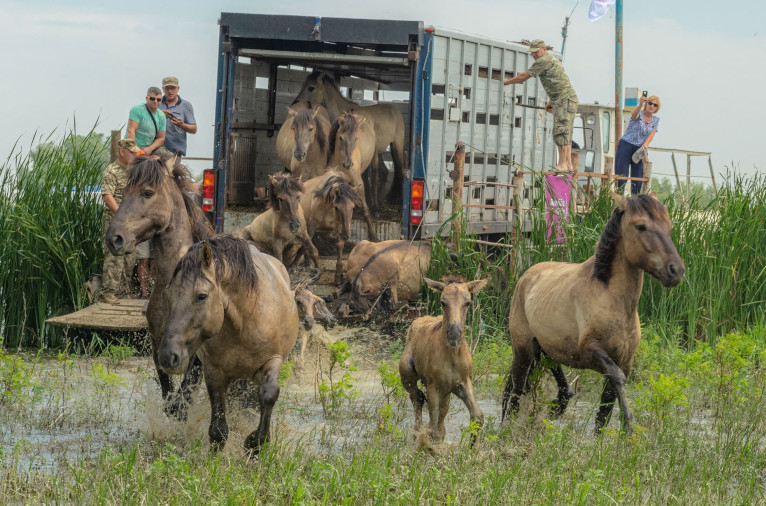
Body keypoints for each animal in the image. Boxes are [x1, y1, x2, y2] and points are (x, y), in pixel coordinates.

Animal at [105, 156, 214, 419]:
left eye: (147, 192)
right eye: (124, 191)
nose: (114, 239)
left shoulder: (196, 358)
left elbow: (183, 400)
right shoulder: (158, 347)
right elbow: (169, 399)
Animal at [159, 236, 298, 453]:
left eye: (201, 296)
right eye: (168, 293)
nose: (167, 357)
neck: (246, 321)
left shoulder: (273, 360)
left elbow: (269, 394)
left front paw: (256, 444)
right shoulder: (214, 370)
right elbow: (218, 425)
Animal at [293, 70, 406, 204]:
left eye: (311, 88)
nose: (295, 102)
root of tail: (395, 110)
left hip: (396, 146)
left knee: (400, 171)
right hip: (379, 151)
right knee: (384, 172)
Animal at [399, 275, 488, 445]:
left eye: (468, 302)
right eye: (442, 302)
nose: (454, 334)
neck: (452, 355)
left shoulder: (462, 382)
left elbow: (477, 416)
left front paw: (472, 448)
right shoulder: (433, 385)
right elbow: (433, 426)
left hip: (447, 388)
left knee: (440, 407)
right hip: (407, 375)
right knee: (417, 397)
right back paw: (416, 431)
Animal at [501, 193, 685, 434]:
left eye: (668, 226)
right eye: (641, 226)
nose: (676, 271)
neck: (611, 300)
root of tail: (526, 276)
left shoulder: (625, 360)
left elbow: (604, 411)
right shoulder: (592, 350)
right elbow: (618, 380)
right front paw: (629, 427)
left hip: (545, 347)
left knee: (556, 382)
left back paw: (557, 406)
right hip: (523, 350)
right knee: (515, 390)